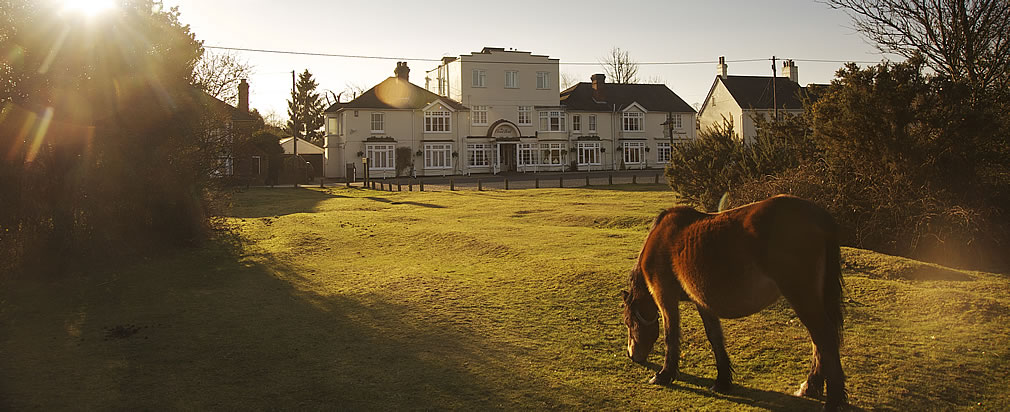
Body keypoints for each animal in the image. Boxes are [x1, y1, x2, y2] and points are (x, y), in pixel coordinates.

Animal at [622, 194, 844, 409]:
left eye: (628, 322)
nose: (632, 355)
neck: (662, 238)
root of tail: (818, 215)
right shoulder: (702, 301)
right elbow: (715, 337)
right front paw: (722, 381)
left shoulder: (664, 296)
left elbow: (671, 335)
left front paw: (664, 375)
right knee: (819, 341)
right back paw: (812, 386)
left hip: (801, 295)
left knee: (824, 337)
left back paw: (833, 400)